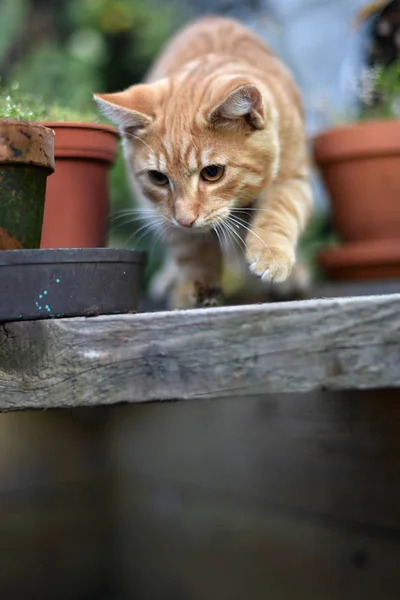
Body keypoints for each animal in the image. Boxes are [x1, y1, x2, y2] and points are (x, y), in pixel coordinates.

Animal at [94, 15, 312, 310]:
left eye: (212, 172)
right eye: (158, 178)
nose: (185, 219)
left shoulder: (294, 177)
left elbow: (280, 209)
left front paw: (271, 254)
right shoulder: (169, 217)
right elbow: (191, 250)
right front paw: (194, 290)